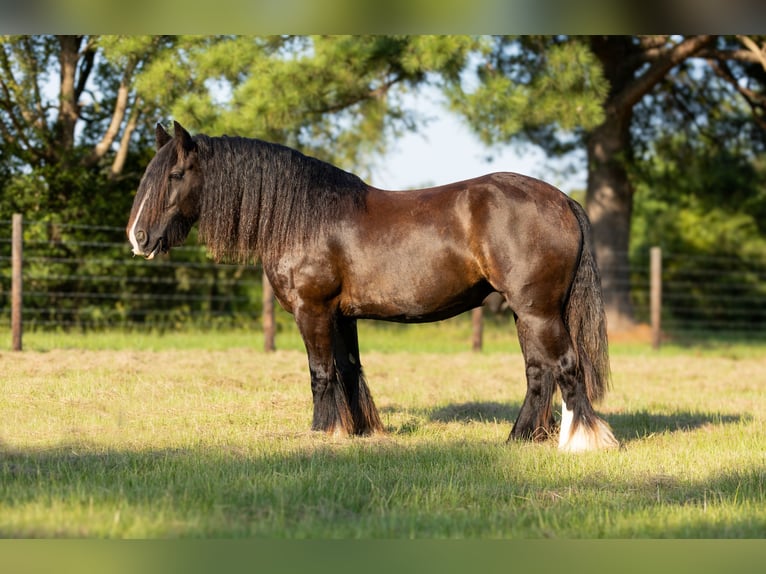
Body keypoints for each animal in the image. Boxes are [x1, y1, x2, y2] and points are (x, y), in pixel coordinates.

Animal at [126, 122, 616, 454]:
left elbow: (320, 373)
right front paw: (356, 430)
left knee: (564, 366)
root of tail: (561, 199)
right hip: (525, 312)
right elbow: (347, 370)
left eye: (174, 175)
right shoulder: (342, 316)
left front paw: (322, 432)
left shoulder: (313, 310)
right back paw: (519, 439)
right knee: (538, 372)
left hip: (538, 310)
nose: (138, 238)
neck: (304, 218)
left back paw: (581, 441)